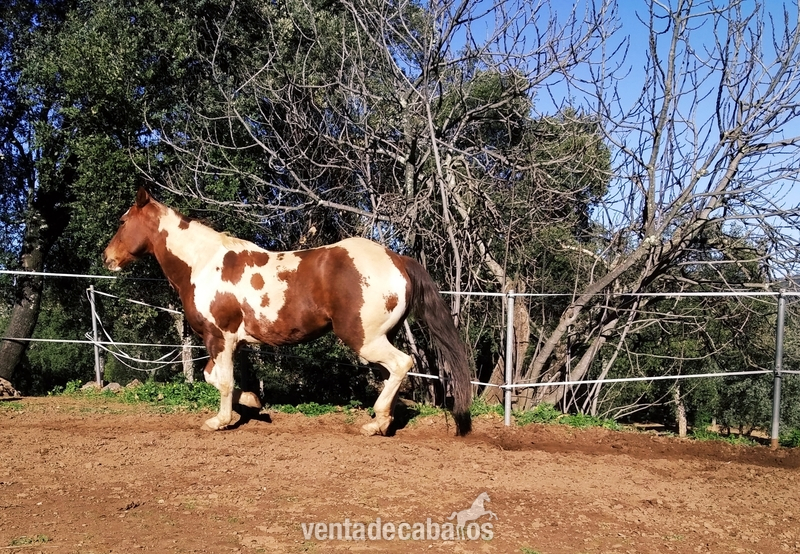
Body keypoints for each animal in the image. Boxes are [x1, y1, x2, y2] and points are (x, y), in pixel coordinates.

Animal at [103, 187, 472, 436]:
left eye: (122, 221)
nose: (107, 257)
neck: (203, 264)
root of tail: (397, 258)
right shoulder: (228, 342)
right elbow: (215, 377)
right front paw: (251, 403)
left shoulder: (219, 337)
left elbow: (223, 381)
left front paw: (221, 420)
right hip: (381, 336)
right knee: (392, 374)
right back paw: (384, 422)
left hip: (365, 339)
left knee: (402, 364)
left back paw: (376, 423)